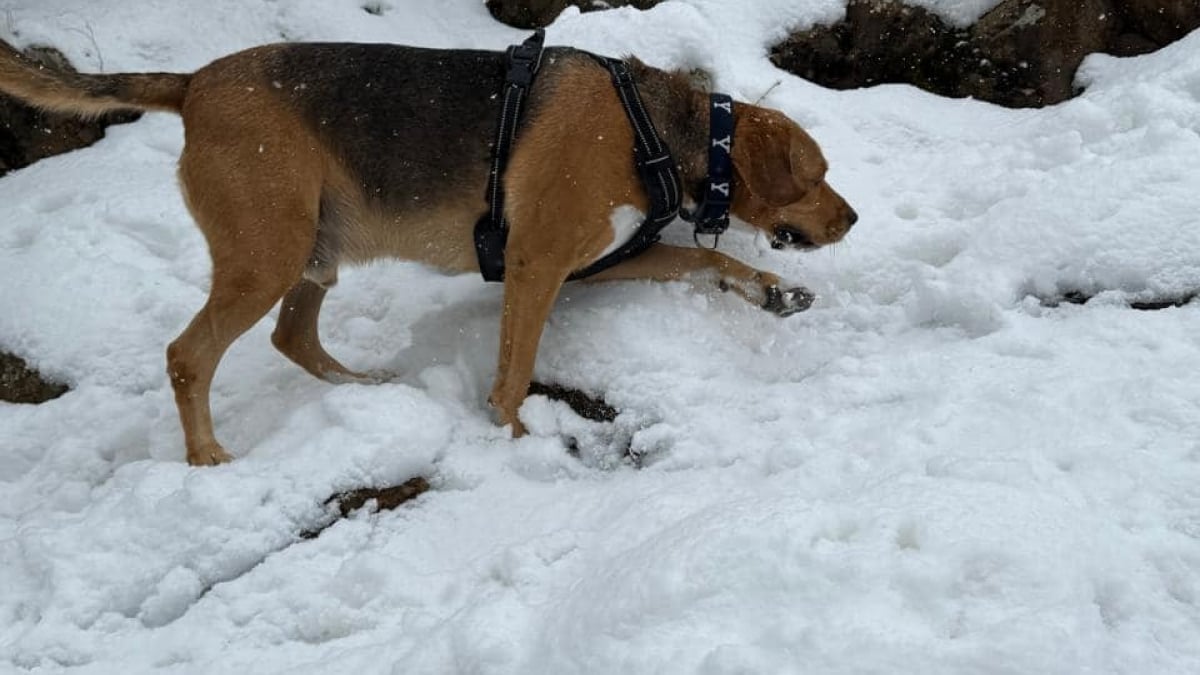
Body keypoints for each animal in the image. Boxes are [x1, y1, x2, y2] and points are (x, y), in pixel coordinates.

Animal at [2, 39, 864, 466]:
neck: (659, 129)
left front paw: (772, 289)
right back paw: (209, 455)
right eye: (817, 174)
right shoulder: (536, 264)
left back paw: (367, 387)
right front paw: (514, 440)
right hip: (268, 251)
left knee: (292, 335)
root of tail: (192, 83)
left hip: (318, 245)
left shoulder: (599, 261)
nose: (853, 218)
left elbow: (712, 261)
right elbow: (513, 372)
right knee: (189, 354)